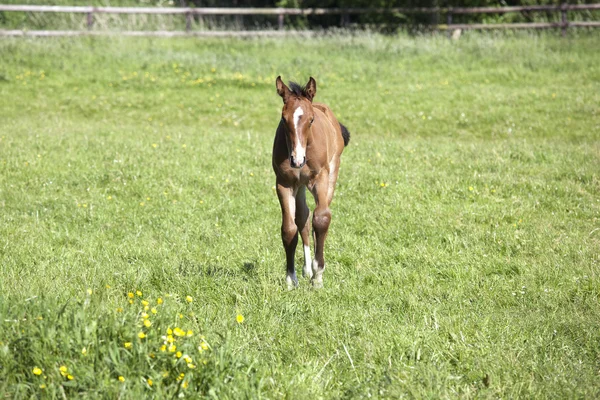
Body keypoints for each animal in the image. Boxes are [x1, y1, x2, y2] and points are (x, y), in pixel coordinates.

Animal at [270, 76, 350, 288]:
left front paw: (318, 276)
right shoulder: (285, 183)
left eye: (311, 119)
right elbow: (289, 229)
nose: (297, 160)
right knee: (303, 218)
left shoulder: (319, 178)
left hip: (331, 174)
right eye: (283, 118)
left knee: (318, 217)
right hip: (299, 186)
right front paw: (291, 278)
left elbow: (321, 219)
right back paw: (306, 269)